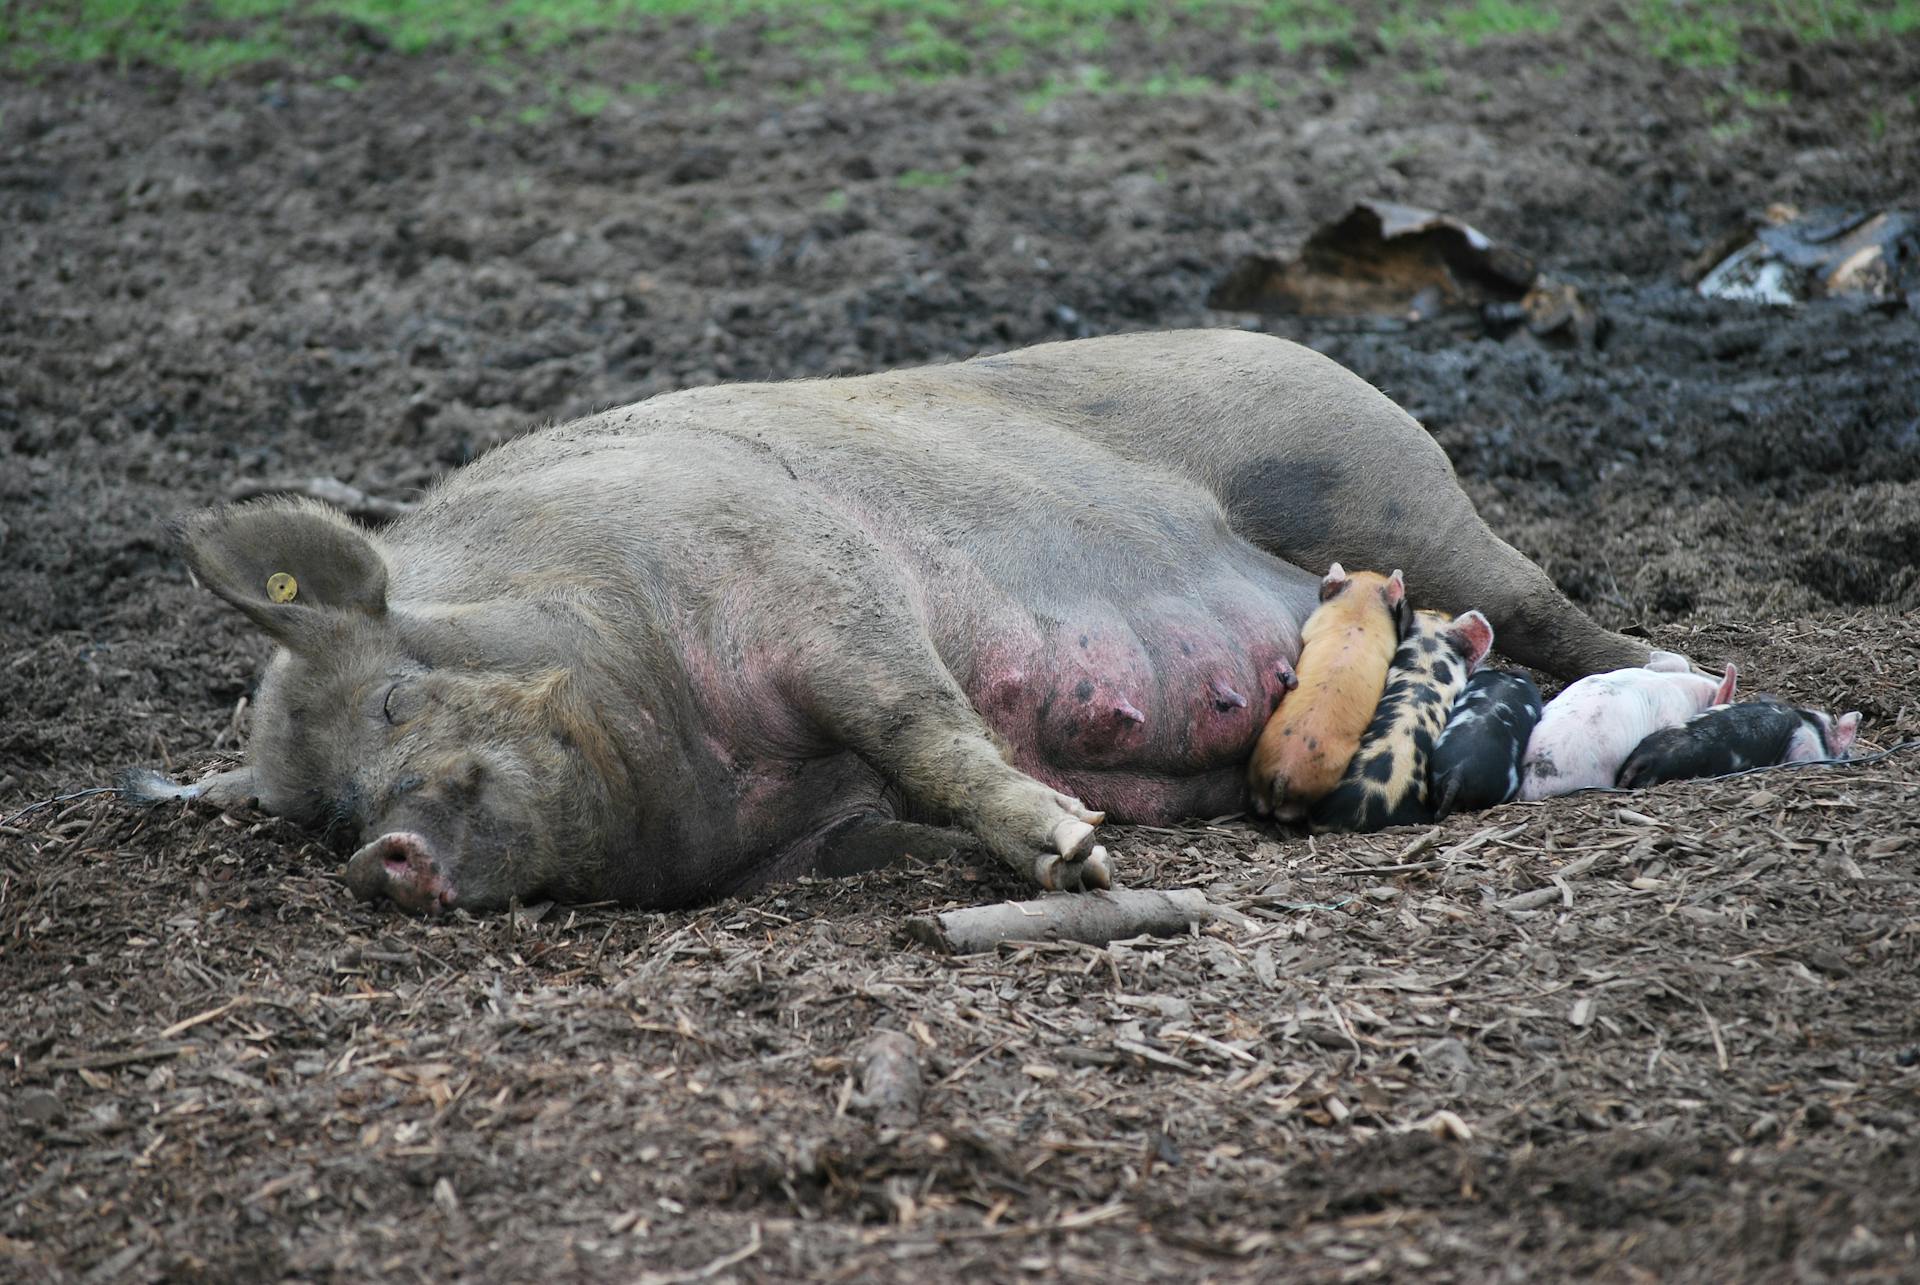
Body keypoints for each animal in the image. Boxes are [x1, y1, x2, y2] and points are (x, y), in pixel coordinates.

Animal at [135, 330, 1681, 910]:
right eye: (327, 815)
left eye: (398, 696)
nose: (382, 854)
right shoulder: (802, 827)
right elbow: (886, 827)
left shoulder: (808, 579)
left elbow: (918, 720)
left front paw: (1077, 854)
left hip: (1384, 487)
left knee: (1547, 606)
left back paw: (1678, 669)